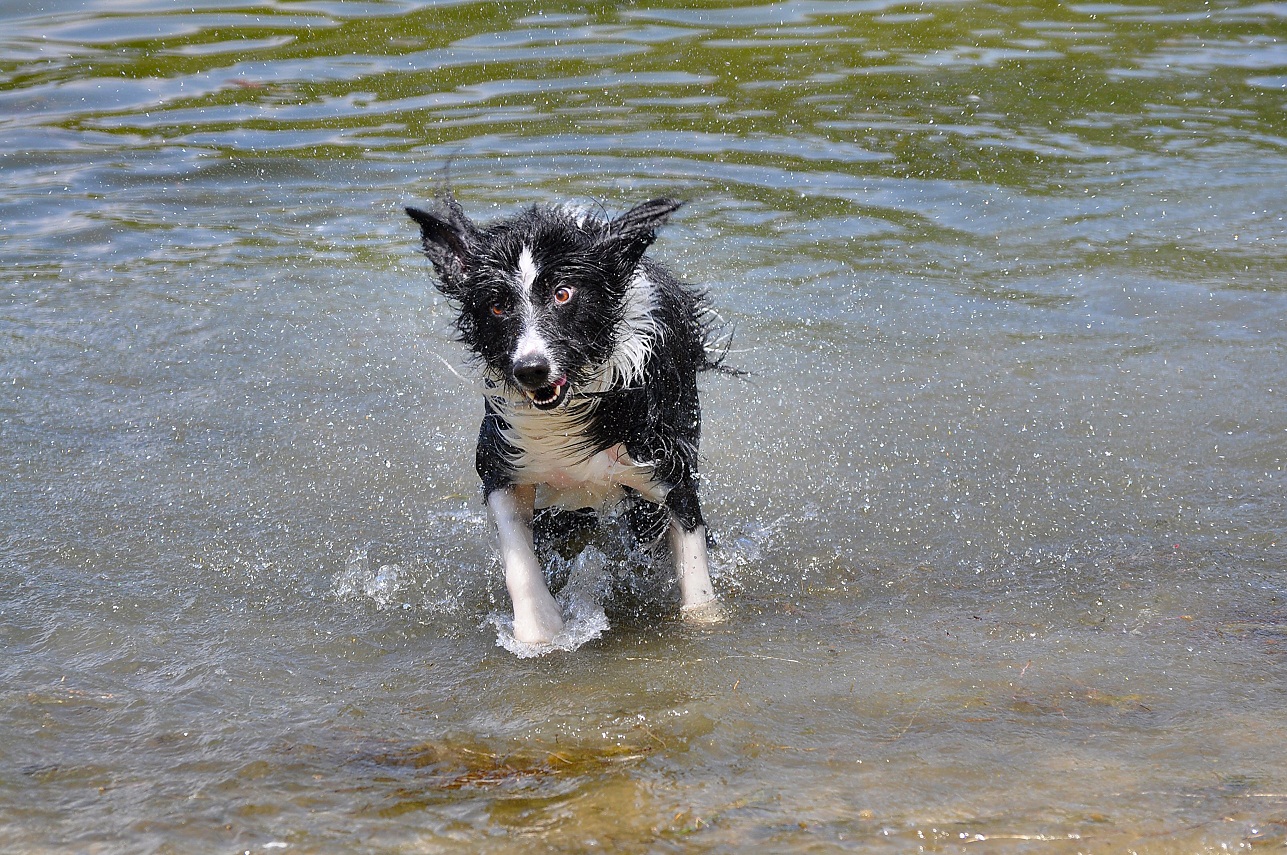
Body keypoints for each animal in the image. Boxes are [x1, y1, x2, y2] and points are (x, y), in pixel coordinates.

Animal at [409, 195, 731, 641]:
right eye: (497, 305)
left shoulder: (669, 468)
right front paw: (539, 631)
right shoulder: (503, 465)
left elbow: (694, 570)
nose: (531, 369)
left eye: (563, 294)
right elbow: (519, 561)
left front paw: (705, 619)